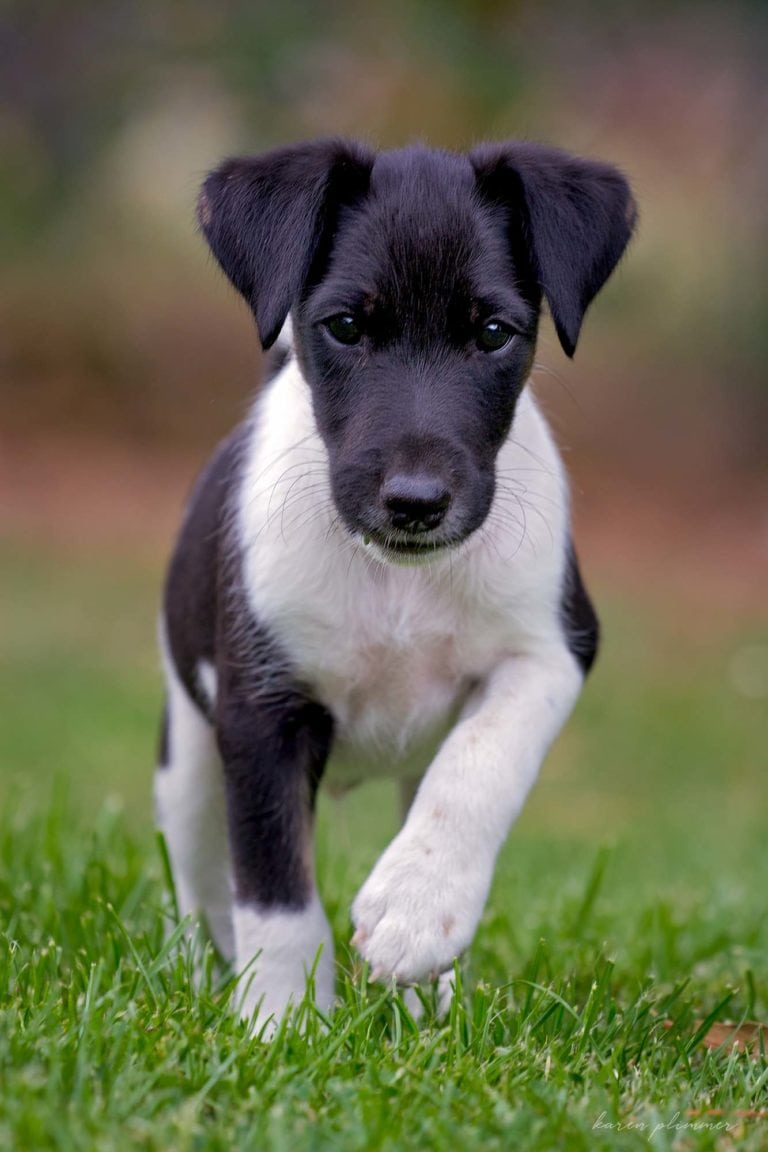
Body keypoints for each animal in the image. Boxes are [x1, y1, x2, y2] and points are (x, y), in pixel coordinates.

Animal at [153, 139, 635, 1032]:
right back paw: (203, 969)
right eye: (346, 327)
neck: (398, 580)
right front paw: (281, 1027)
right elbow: (275, 888)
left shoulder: (551, 651)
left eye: (492, 333)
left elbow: (480, 765)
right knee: (201, 881)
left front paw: (417, 907)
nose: (415, 503)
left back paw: (425, 1001)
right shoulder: (261, 709)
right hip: (190, 758)